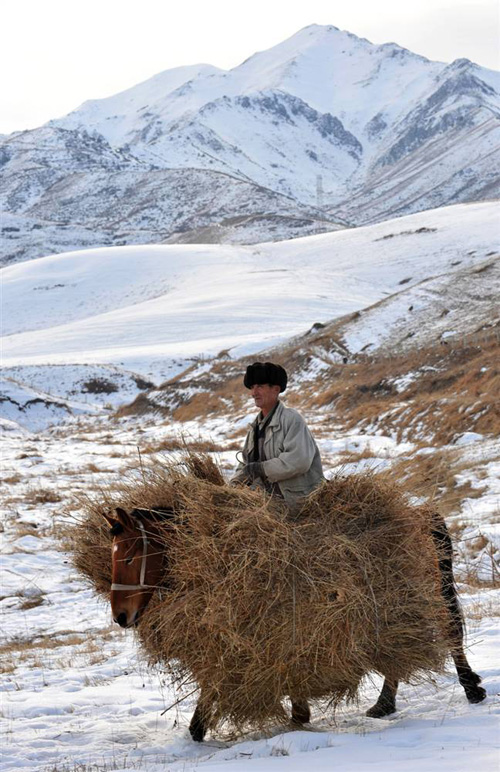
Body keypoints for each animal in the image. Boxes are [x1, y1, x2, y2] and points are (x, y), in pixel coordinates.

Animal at [104, 506, 484, 740]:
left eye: (129, 556)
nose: (121, 616)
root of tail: (424, 515)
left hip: (422, 595)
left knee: (448, 631)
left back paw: (470, 689)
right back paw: (384, 704)